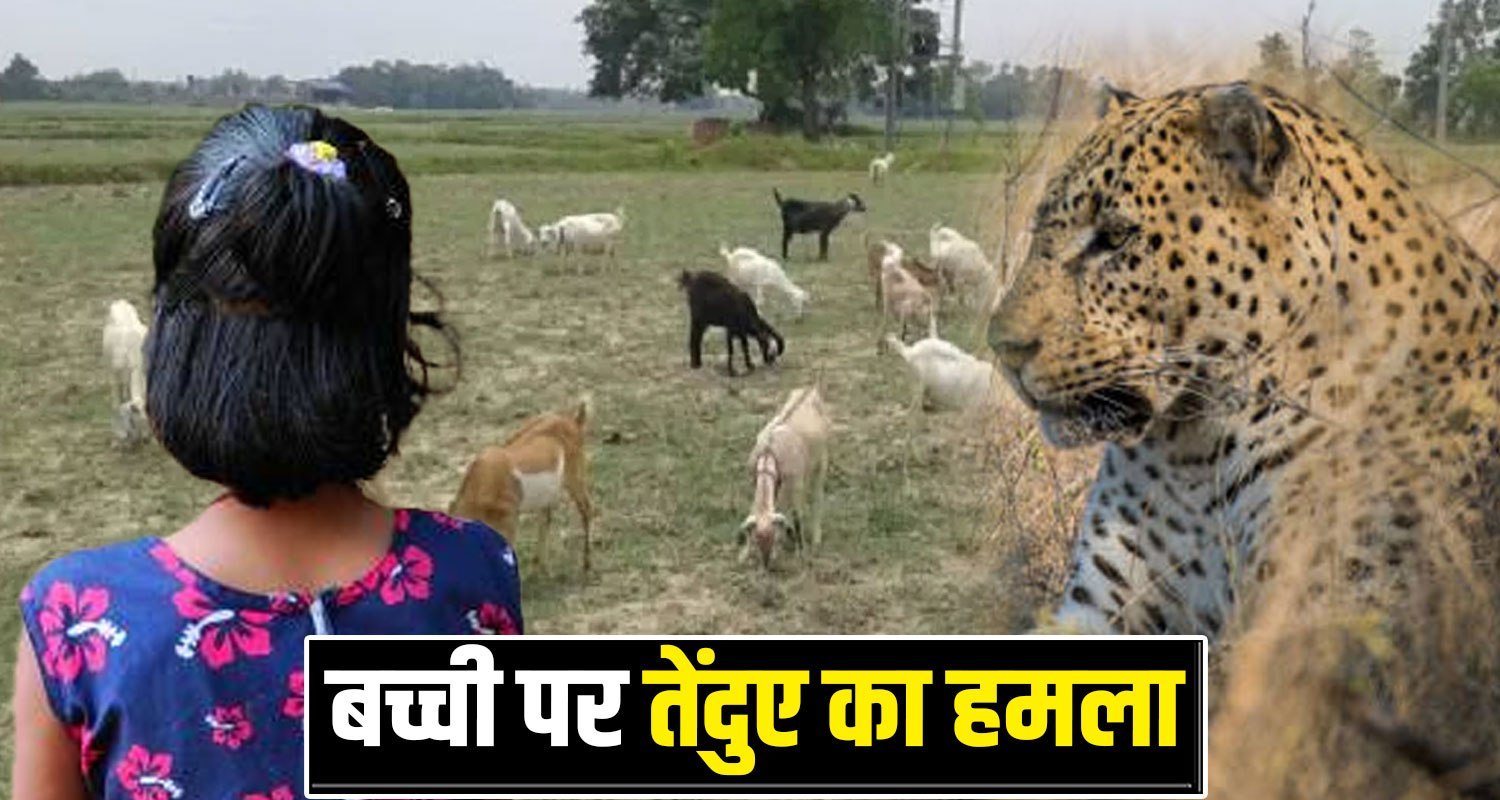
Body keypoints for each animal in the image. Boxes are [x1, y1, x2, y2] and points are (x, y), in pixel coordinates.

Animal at [101, 299, 149, 448]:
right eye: (134, 419)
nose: (145, 440)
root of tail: (120, 301)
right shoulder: (114, 375)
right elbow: (117, 404)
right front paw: (120, 433)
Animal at [450, 397, 595, 576]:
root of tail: (573, 422)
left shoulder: (509, 522)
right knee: (546, 519)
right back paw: (541, 568)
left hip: (575, 480)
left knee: (586, 509)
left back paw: (586, 565)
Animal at [738, 381, 831, 568]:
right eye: (757, 539)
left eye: (773, 537)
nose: (766, 563)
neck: (769, 456)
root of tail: (811, 389)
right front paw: (744, 555)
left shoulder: (796, 485)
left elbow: (797, 517)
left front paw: (800, 551)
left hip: (821, 461)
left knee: (817, 496)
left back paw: (816, 539)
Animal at [988, 81, 1500, 793]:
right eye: (1041, 231)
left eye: (1114, 238)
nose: (1002, 347)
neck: (1194, 447)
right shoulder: (1100, 604)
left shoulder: (1310, 636)